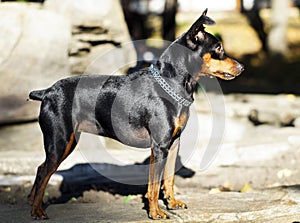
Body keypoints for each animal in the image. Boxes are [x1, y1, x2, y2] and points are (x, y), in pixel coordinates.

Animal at [28, 9, 244, 220]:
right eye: (218, 48)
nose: (242, 68)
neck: (172, 84)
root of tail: (47, 92)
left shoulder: (173, 143)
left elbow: (169, 178)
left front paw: (172, 203)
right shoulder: (160, 146)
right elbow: (154, 184)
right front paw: (156, 212)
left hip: (68, 140)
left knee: (40, 169)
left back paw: (31, 203)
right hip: (61, 141)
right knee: (45, 171)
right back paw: (37, 211)